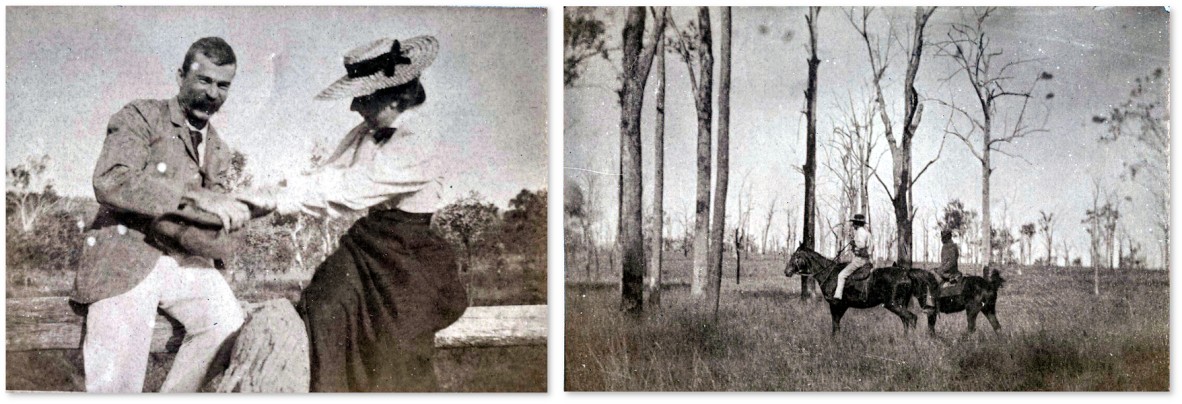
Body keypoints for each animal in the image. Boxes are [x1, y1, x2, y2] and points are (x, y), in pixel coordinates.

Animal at [780, 248, 936, 335]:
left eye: (795, 257)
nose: (786, 271)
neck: (829, 273)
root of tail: (906, 273)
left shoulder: (835, 304)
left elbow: (835, 324)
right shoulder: (842, 306)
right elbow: (837, 324)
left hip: (893, 304)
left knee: (911, 318)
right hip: (901, 304)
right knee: (906, 320)